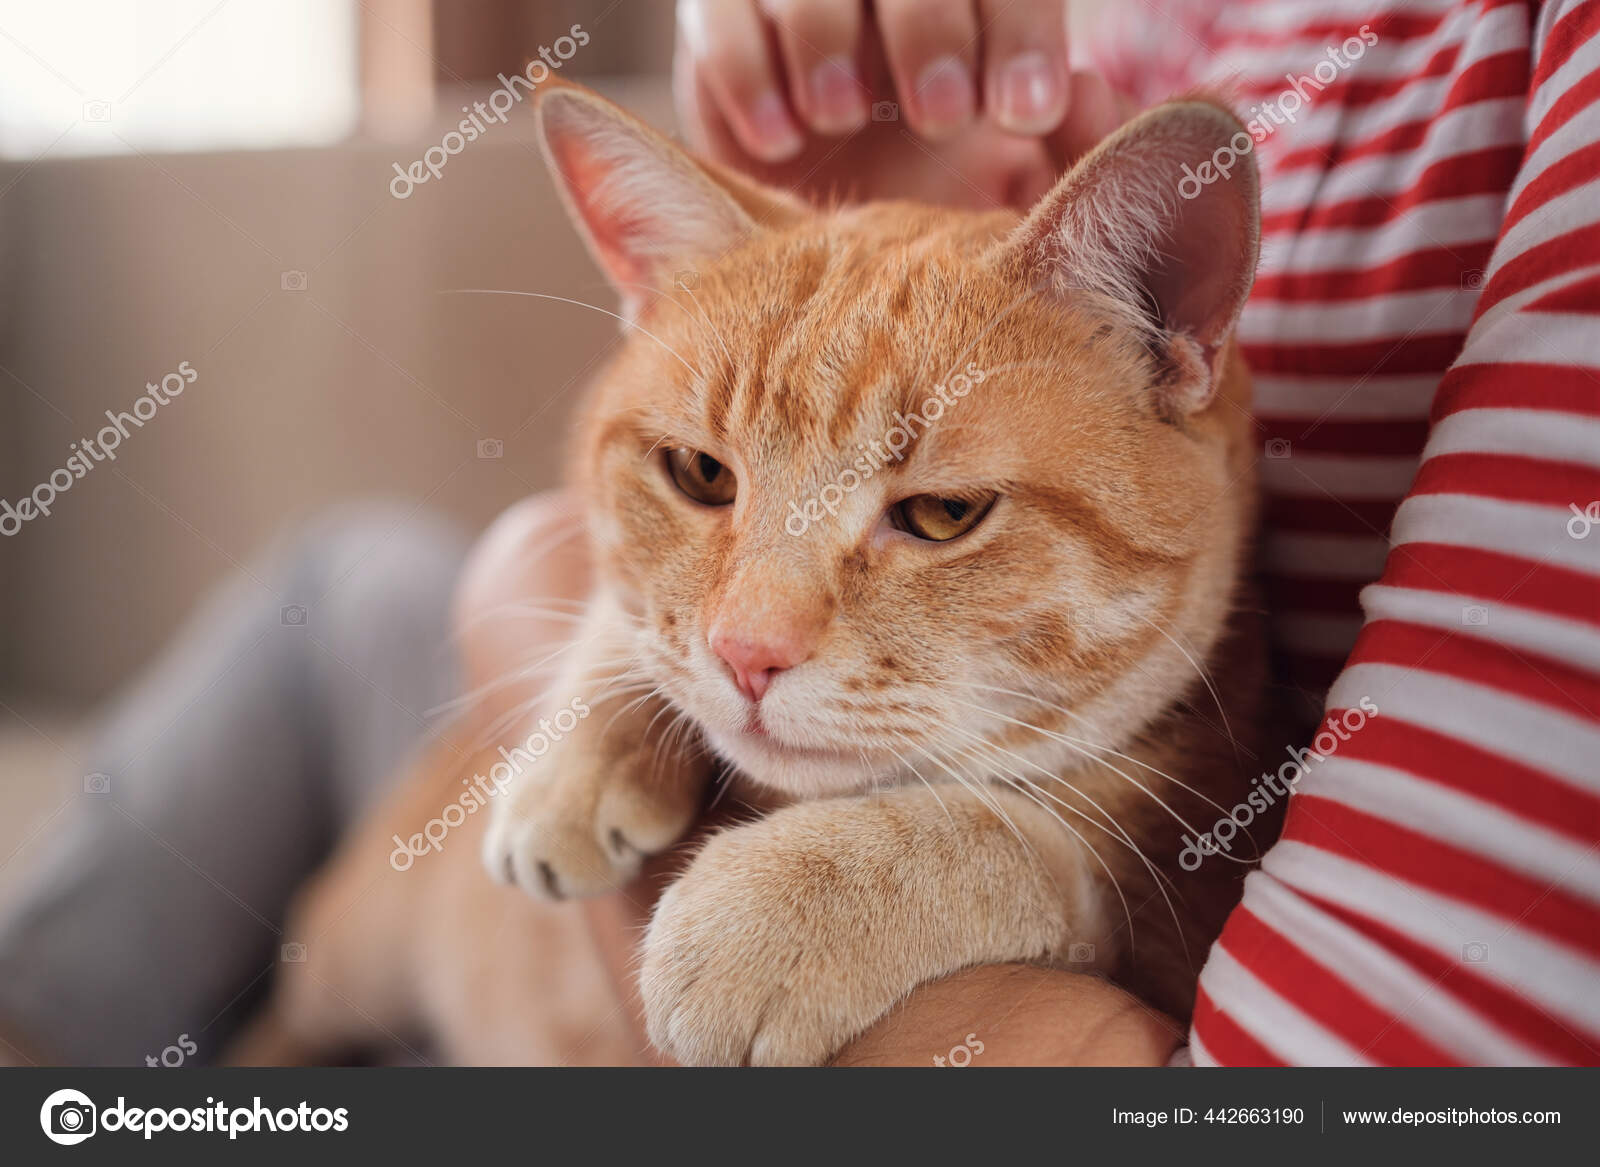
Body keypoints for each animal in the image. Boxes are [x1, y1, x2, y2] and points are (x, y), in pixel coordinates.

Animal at [232, 79, 1267, 1062]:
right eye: (701, 474)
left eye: (943, 514)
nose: (748, 654)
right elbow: (638, 617)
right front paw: (576, 759)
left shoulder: (1169, 894)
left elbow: (1007, 830)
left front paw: (773, 907)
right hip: (351, 952)